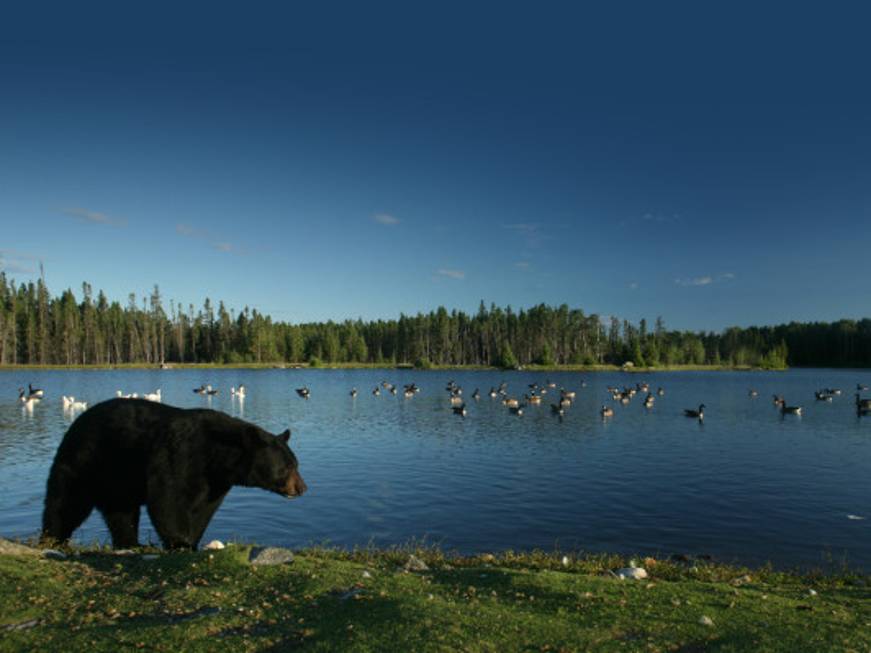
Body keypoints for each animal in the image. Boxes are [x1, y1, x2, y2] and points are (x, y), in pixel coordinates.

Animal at [41, 400, 306, 548]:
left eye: (296, 464)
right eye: (286, 467)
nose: (302, 488)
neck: (216, 457)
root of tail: (74, 425)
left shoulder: (215, 483)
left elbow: (204, 509)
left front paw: (193, 540)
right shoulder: (176, 456)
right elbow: (166, 501)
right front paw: (180, 543)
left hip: (118, 481)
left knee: (121, 514)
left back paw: (131, 543)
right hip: (83, 465)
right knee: (64, 505)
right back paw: (52, 539)